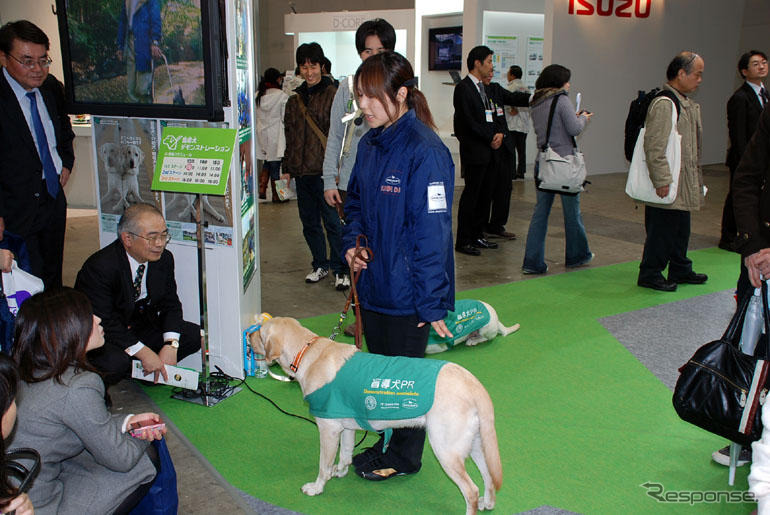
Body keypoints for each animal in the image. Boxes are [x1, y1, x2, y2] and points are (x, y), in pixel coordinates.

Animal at [249, 318, 500, 515]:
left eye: (260, 332)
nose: (248, 335)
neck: (307, 352)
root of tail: (473, 384)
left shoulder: (328, 430)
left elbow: (323, 464)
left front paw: (317, 486)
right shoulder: (346, 427)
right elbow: (345, 453)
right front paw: (340, 471)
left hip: (446, 449)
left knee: (471, 490)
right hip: (476, 444)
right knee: (488, 476)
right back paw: (488, 503)